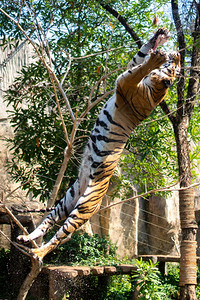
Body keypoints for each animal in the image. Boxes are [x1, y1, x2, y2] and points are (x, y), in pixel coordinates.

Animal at [16, 28, 180, 260]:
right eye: (178, 66)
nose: (178, 54)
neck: (156, 88)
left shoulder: (126, 82)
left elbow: (141, 68)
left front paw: (156, 59)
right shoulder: (128, 73)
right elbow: (139, 57)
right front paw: (160, 36)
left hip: (84, 207)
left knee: (59, 236)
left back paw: (38, 252)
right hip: (68, 198)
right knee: (48, 222)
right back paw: (27, 238)